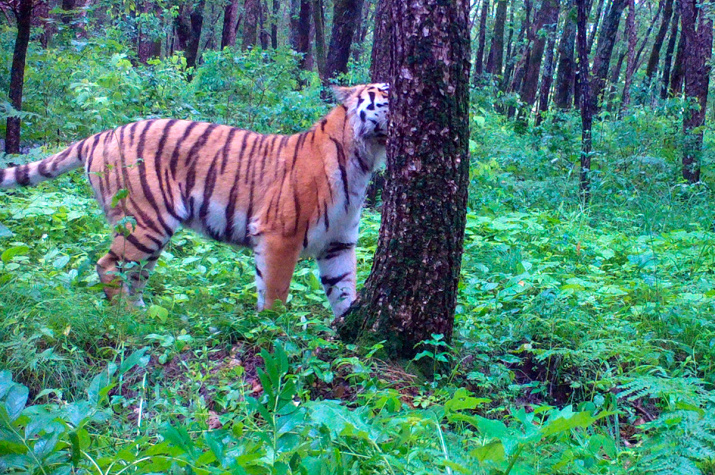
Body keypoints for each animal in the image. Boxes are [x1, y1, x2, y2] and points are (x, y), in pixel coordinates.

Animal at [0, 83, 388, 318]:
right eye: (388, 91)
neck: (363, 159)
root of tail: (101, 135)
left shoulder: (338, 244)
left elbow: (344, 292)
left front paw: (344, 336)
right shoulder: (280, 236)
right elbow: (275, 293)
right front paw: (274, 334)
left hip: (150, 234)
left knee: (135, 275)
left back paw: (143, 318)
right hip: (145, 221)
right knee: (108, 265)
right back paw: (126, 319)